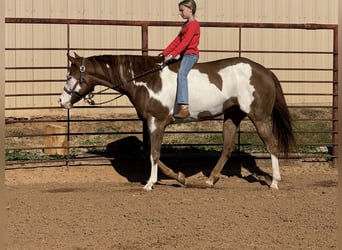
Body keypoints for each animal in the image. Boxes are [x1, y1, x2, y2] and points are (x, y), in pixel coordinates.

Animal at [58, 52, 294, 189]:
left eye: (69, 75)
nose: (61, 101)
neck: (145, 80)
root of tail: (265, 71)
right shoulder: (151, 123)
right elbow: (149, 153)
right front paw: (180, 177)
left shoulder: (157, 122)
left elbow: (154, 154)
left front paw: (150, 184)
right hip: (232, 115)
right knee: (227, 147)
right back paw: (210, 179)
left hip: (259, 117)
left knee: (271, 145)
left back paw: (274, 182)